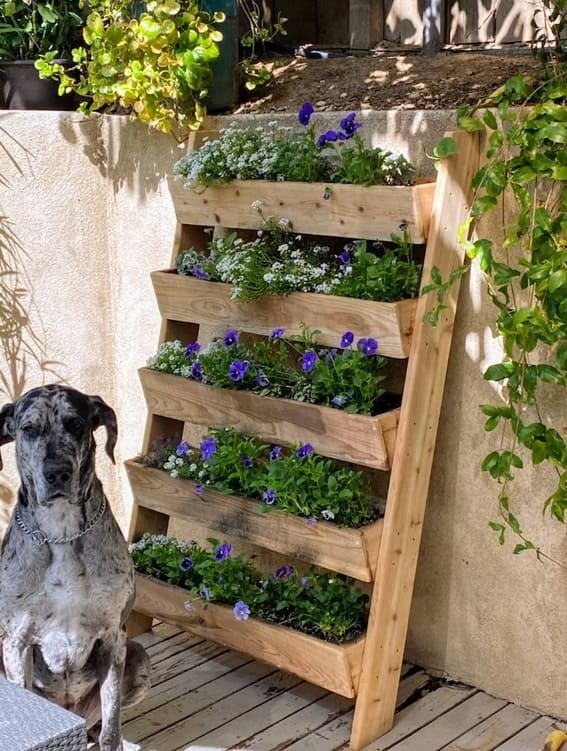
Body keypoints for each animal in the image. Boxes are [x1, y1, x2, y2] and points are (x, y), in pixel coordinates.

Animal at [0, 388, 151, 751]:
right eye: (28, 429)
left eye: (76, 424)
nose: (57, 472)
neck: (62, 532)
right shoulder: (16, 642)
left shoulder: (113, 637)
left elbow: (111, 728)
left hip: (139, 656)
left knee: (102, 728)